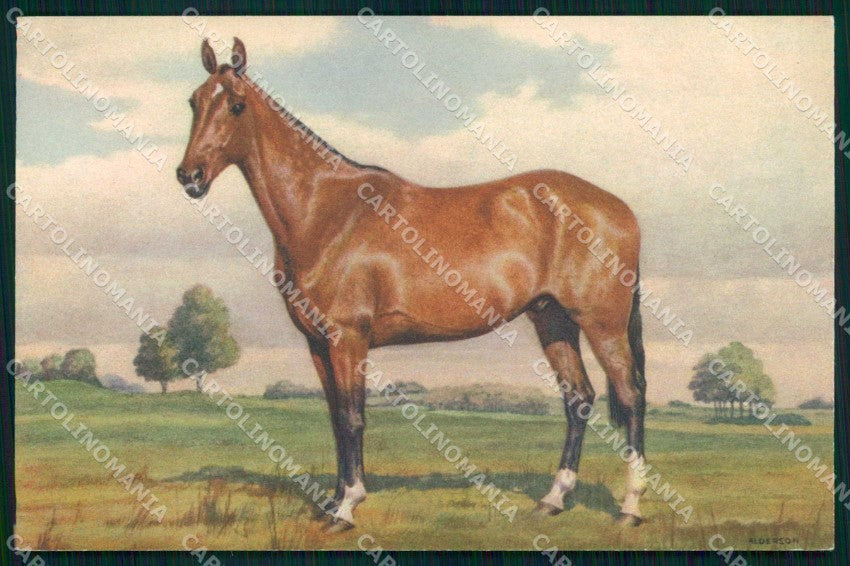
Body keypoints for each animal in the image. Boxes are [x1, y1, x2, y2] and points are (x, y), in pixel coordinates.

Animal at [177, 38, 648, 532]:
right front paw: (333, 501)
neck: (327, 212)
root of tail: (619, 208)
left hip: (602, 325)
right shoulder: (318, 343)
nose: (190, 176)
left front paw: (347, 507)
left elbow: (352, 417)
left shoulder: (348, 338)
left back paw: (630, 508)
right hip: (552, 320)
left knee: (630, 396)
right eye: (194, 101)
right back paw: (553, 499)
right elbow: (335, 419)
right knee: (579, 399)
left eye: (236, 105)